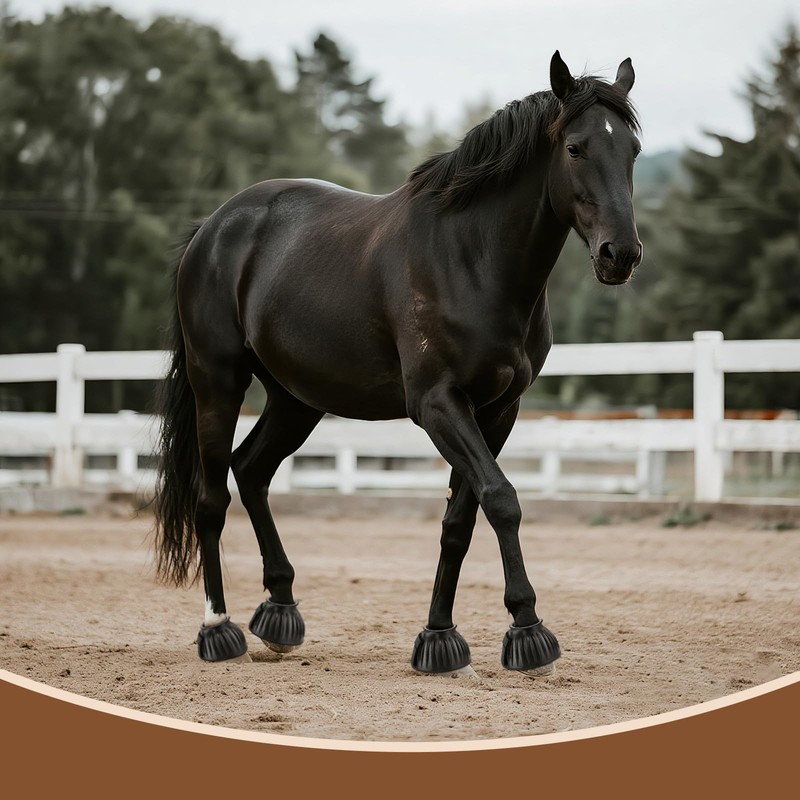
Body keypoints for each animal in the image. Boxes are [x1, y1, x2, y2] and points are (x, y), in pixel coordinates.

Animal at [153, 51, 642, 677]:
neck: (471, 258)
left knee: (252, 470)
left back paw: (281, 610)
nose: (620, 254)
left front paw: (439, 639)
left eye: (632, 150)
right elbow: (502, 499)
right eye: (576, 147)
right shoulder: (438, 404)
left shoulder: (498, 410)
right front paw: (528, 630)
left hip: (297, 399)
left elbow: (462, 520)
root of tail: (212, 228)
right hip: (217, 382)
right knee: (212, 497)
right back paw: (218, 629)